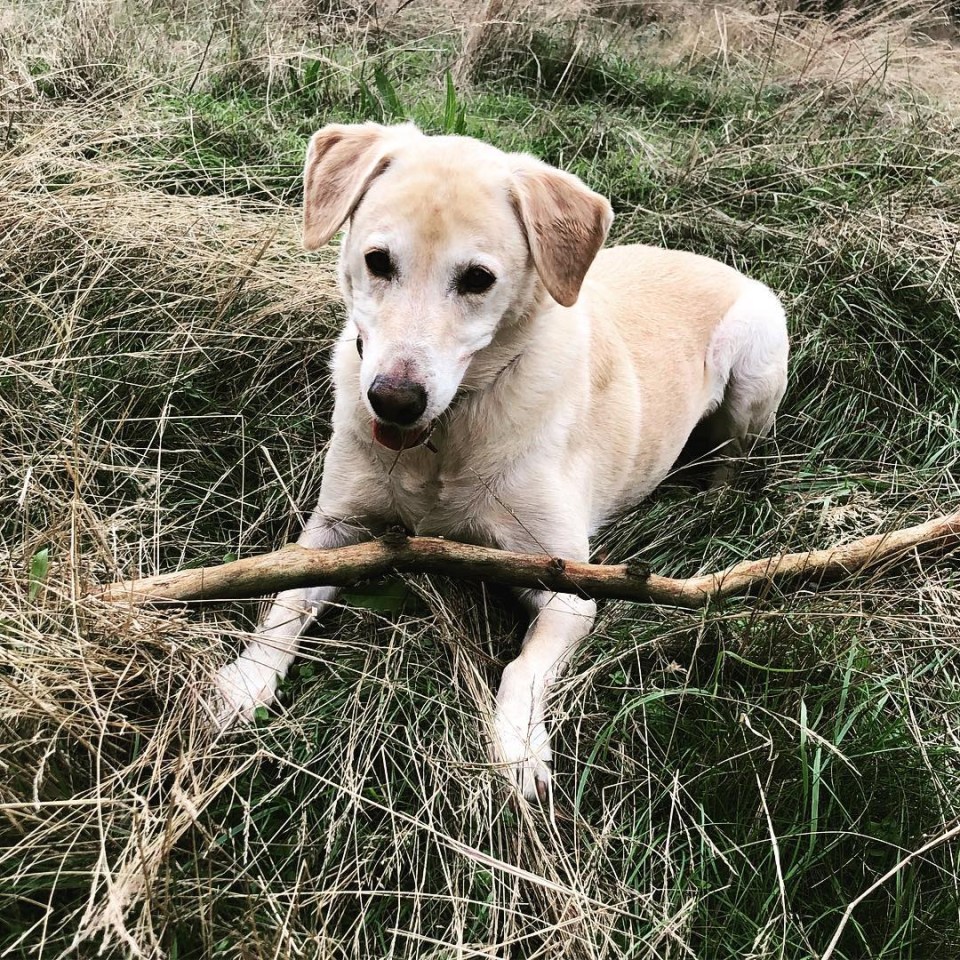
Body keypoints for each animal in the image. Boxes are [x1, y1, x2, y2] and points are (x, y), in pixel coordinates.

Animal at [216, 124, 788, 808]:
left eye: (477, 279)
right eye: (378, 261)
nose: (393, 399)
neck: (443, 440)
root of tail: (716, 262)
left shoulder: (569, 589)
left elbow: (522, 669)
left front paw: (516, 746)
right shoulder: (336, 532)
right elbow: (284, 603)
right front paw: (247, 680)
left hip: (754, 370)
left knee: (733, 454)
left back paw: (713, 497)